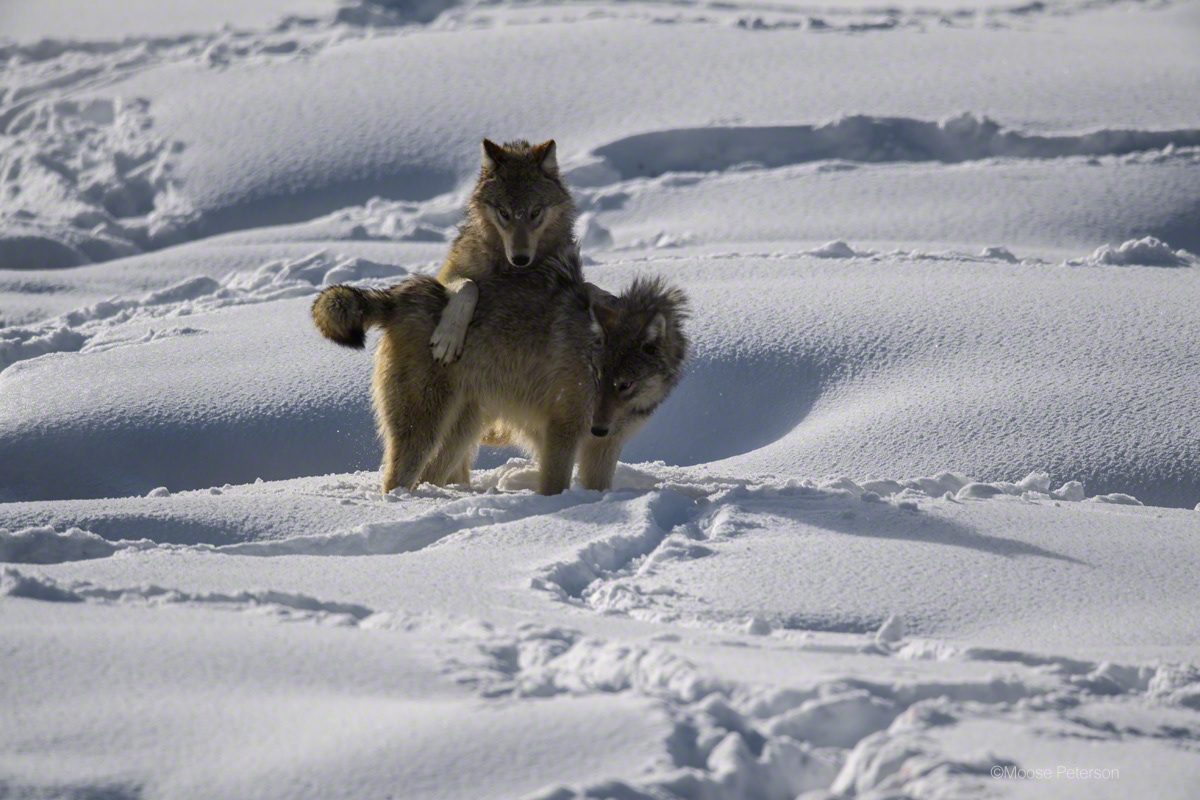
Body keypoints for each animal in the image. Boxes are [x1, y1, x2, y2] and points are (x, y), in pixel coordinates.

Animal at [427, 138, 576, 362]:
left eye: (535, 212)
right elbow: (469, 287)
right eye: (504, 212)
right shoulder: (450, 271)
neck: (507, 266)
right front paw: (448, 338)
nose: (520, 259)